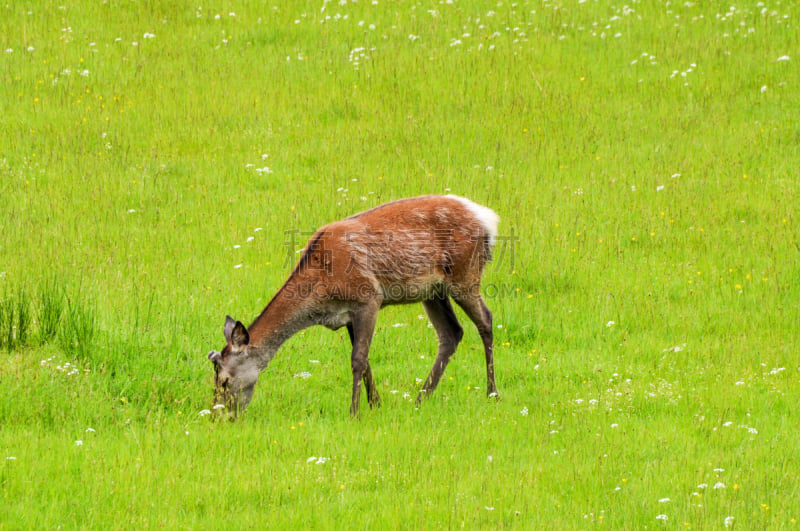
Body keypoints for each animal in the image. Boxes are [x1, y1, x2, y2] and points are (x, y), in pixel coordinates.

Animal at [209, 193, 504, 418]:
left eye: (224, 380)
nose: (217, 416)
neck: (322, 291)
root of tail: (488, 219)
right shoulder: (347, 315)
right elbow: (366, 360)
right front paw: (376, 404)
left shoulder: (369, 298)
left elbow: (358, 359)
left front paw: (354, 412)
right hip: (432, 291)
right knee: (451, 333)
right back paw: (420, 398)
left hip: (465, 274)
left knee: (486, 321)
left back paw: (492, 393)